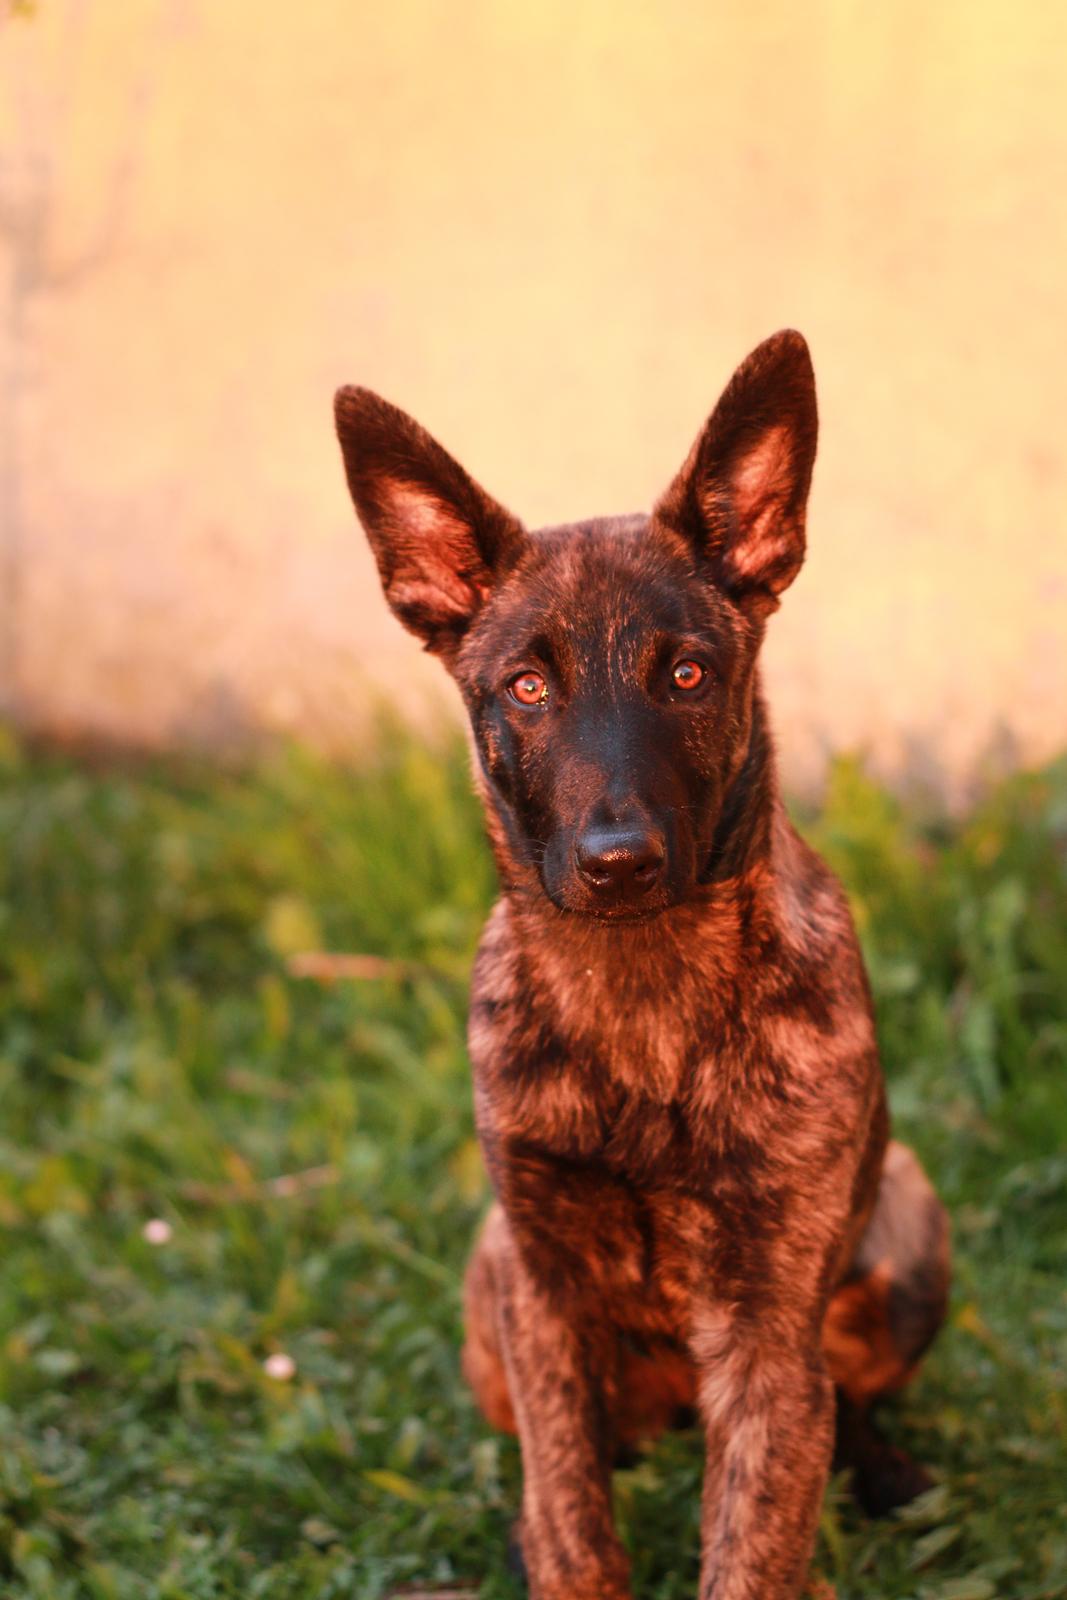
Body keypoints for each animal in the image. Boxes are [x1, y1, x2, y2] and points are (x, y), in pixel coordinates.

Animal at [334, 324, 953, 1600]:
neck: (639, 994)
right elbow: (573, 1512)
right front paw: (553, 1541)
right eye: (525, 686)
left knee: (846, 1407)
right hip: (488, 1280)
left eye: (687, 675)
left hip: (909, 1226)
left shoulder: (767, 1331)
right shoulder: (543, 1296)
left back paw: (886, 1472)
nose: (616, 862)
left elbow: (756, 1536)